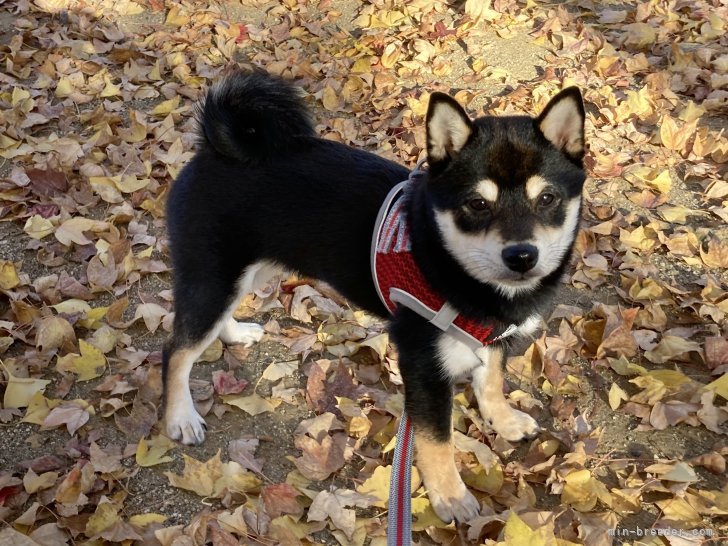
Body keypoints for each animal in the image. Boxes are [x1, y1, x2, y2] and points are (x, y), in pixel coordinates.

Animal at [162, 70, 584, 520]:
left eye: (548, 198)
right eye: (476, 204)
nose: (521, 255)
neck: (442, 257)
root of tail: (213, 147)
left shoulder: (492, 337)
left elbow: (491, 381)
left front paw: (503, 421)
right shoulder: (422, 363)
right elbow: (437, 440)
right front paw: (450, 495)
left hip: (250, 271)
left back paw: (235, 333)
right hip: (212, 277)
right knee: (176, 350)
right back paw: (181, 416)